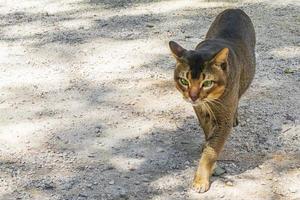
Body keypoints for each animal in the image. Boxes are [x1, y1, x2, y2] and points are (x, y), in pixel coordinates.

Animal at [169, 8, 255, 193]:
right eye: (184, 81)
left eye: (207, 83)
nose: (193, 96)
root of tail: (235, 9)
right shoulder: (200, 111)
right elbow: (209, 136)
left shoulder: (224, 117)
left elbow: (211, 150)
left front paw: (201, 180)